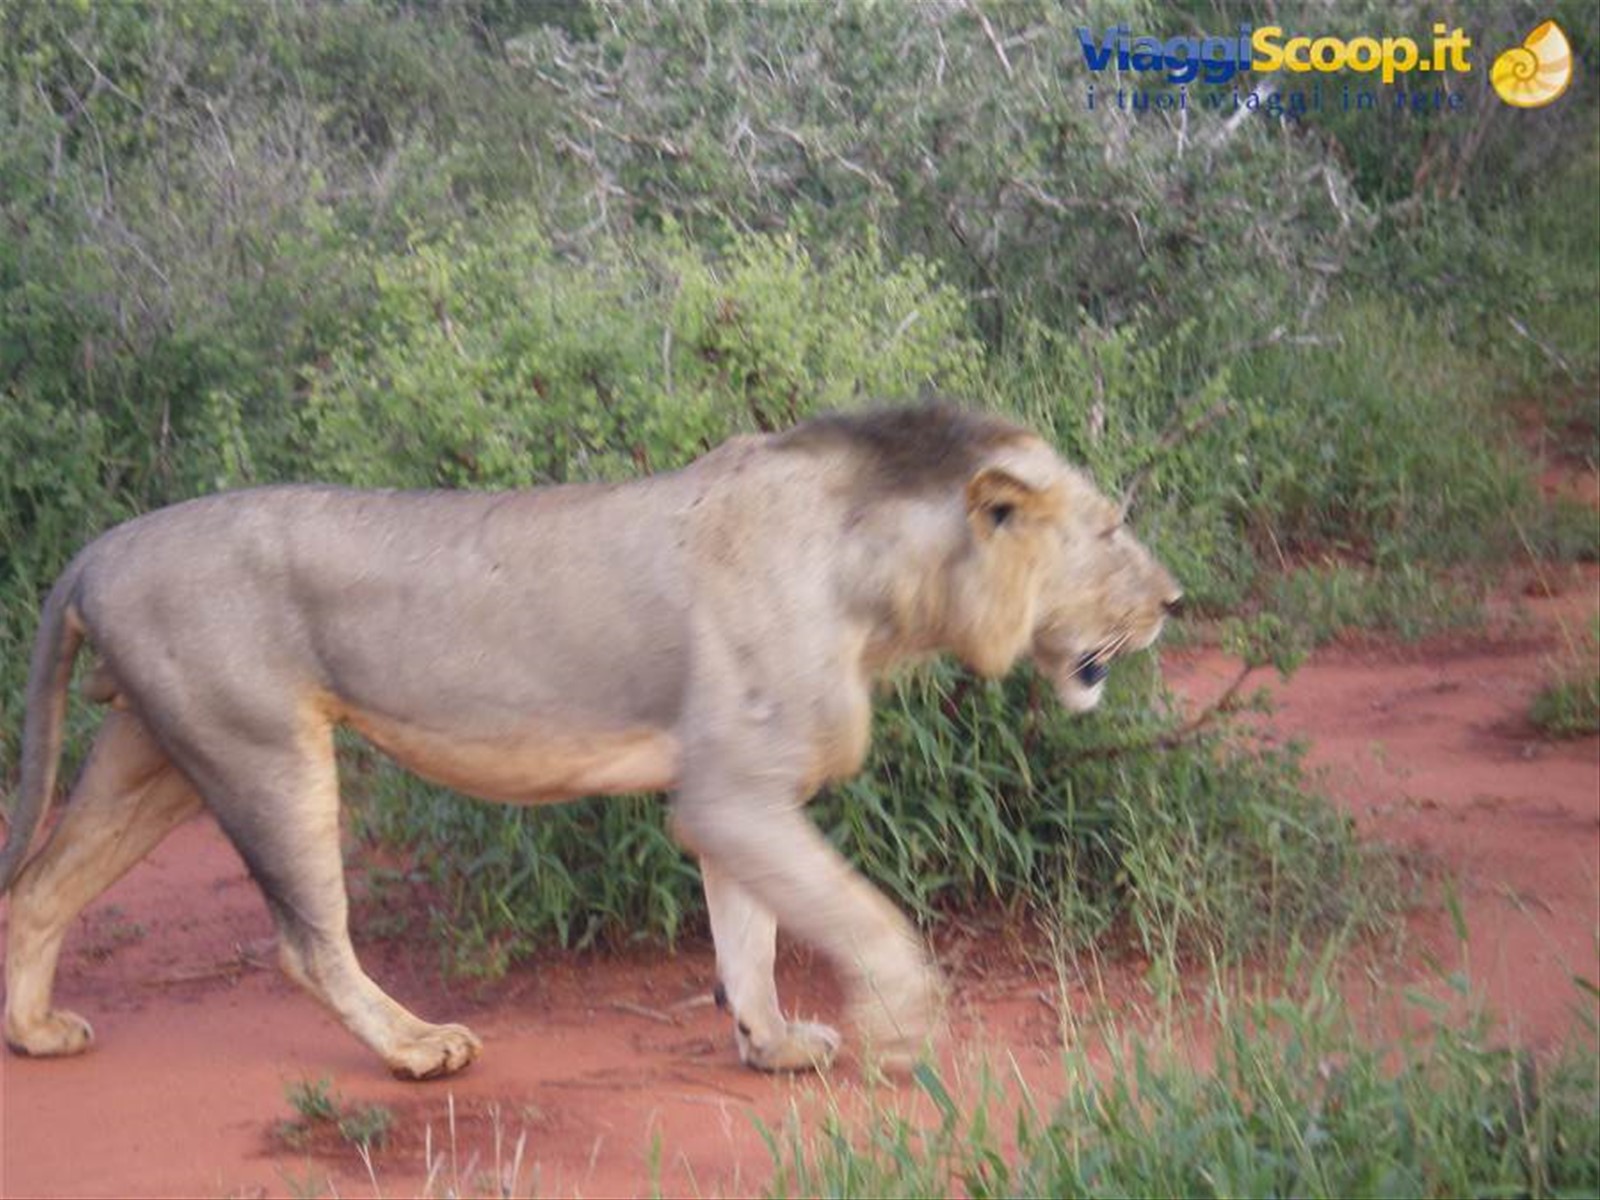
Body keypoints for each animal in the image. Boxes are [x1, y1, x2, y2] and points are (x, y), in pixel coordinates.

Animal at [0, 404, 1179, 1079]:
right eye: (1112, 529)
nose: (1173, 599)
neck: (883, 581)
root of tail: (99, 546)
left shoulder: (739, 798)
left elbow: (749, 937)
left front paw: (770, 1045)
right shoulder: (731, 793)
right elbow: (865, 918)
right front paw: (901, 1033)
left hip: (153, 755)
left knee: (37, 888)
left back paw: (34, 1033)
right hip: (262, 753)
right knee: (305, 939)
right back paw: (417, 1047)